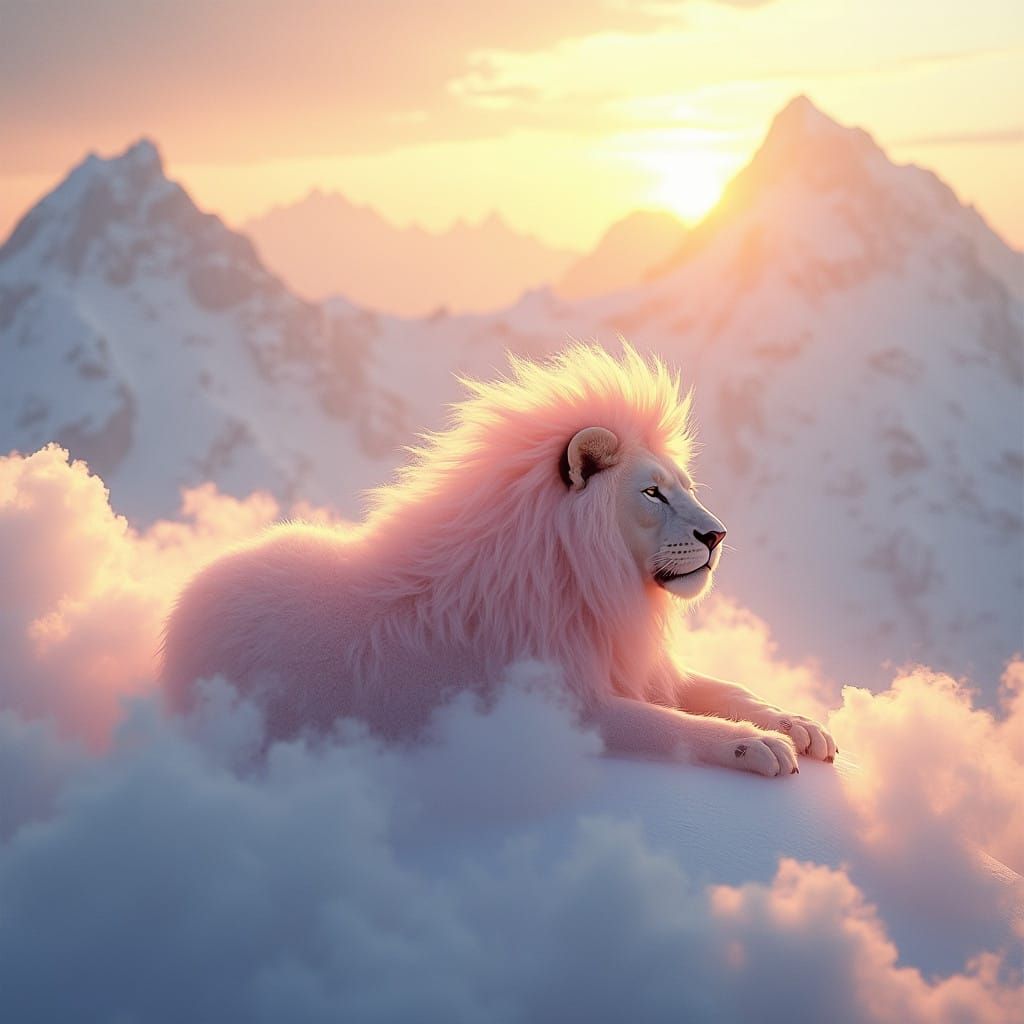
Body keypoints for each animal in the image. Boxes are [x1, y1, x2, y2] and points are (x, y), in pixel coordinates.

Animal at [162, 344, 835, 777]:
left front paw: (799, 724)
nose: (717, 535)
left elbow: (724, 685)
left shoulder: (622, 659)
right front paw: (759, 746)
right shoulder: (562, 705)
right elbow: (672, 726)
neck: (579, 576)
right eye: (651, 493)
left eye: (684, 486)